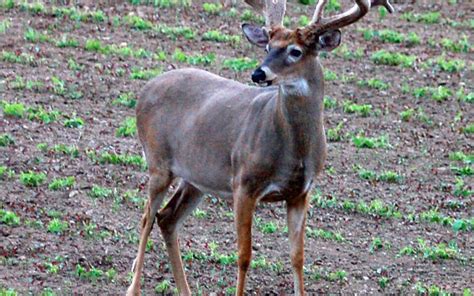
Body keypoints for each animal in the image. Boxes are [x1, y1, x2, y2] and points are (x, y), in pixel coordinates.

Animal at [126, 0, 392, 294]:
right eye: (267, 47)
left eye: (295, 51)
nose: (258, 73)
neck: (293, 153)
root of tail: (146, 88)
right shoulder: (244, 183)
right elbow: (244, 255)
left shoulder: (301, 192)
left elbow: (298, 257)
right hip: (157, 161)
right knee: (146, 218)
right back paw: (133, 287)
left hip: (197, 178)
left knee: (167, 217)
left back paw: (186, 290)